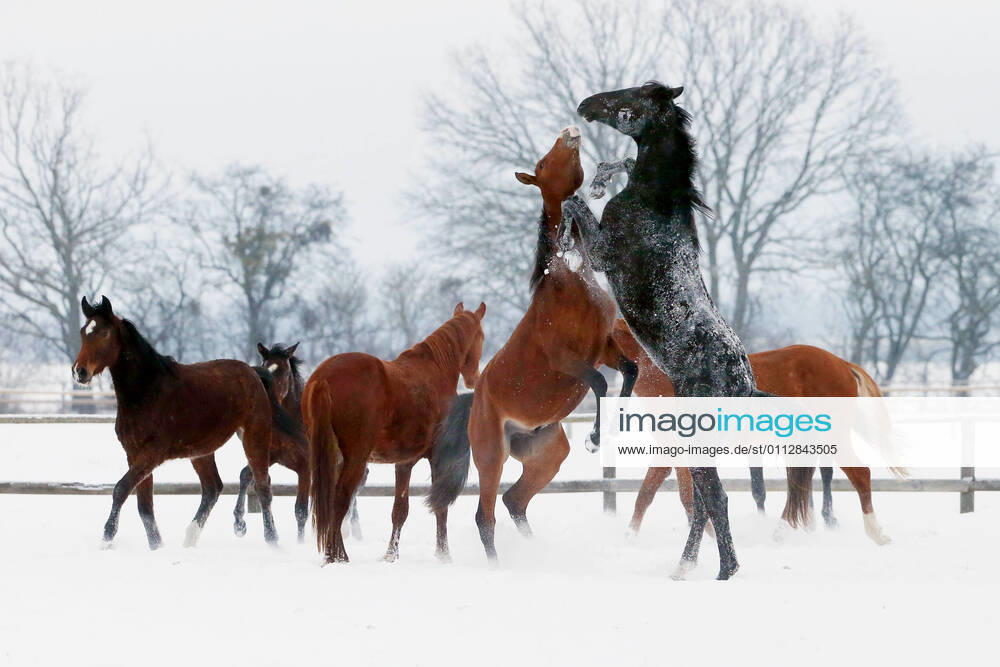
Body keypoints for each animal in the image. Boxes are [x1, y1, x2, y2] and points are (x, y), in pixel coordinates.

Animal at [72, 296, 301, 549]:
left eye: (104, 333)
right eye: (83, 332)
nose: (80, 372)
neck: (147, 390)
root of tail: (254, 373)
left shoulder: (153, 453)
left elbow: (121, 489)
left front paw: (107, 537)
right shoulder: (134, 453)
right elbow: (144, 506)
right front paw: (156, 546)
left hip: (254, 436)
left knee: (262, 486)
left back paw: (272, 541)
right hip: (201, 451)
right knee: (213, 488)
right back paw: (190, 538)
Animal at [306, 302, 486, 564]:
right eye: (481, 337)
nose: (474, 379)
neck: (435, 370)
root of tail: (323, 377)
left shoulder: (404, 462)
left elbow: (399, 510)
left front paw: (391, 555)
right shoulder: (435, 458)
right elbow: (439, 507)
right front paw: (443, 555)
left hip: (329, 457)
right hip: (355, 459)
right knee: (340, 500)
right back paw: (338, 557)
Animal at [450, 127, 637, 564]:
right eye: (540, 164)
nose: (570, 132)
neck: (570, 282)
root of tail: (475, 401)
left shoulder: (604, 345)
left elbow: (630, 371)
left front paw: (612, 429)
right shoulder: (568, 360)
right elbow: (599, 384)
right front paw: (596, 438)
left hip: (547, 456)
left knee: (515, 501)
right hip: (492, 456)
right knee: (485, 515)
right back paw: (498, 565)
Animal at [568, 81, 756, 580]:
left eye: (629, 99)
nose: (586, 104)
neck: (656, 201)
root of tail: (745, 386)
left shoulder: (603, 254)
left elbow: (575, 207)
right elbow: (619, 165)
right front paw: (602, 175)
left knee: (715, 499)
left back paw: (724, 572)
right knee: (703, 503)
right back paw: (683, 566)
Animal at [612, 320, 893, 545]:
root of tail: (841, 363)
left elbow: (666, 494)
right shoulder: (674, 450)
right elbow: (664, 494)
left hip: (831, 438)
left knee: (858, 474)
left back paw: (876, 533)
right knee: (803, 485)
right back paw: (784, 531)